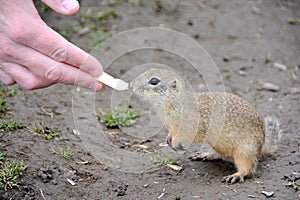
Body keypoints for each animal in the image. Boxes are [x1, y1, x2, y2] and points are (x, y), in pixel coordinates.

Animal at [130, 68, 282, 183]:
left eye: (154, 81)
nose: (131, 84)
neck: (175, 102)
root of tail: (261, 148)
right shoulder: (172, 126)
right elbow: (171, 133)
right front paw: (168, 139)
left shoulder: (190, 126)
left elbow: (184, 135)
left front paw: (175, 142)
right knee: (219, 155)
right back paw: (205, 155)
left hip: (245, 151)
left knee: (249, 167)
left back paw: (236, 175)